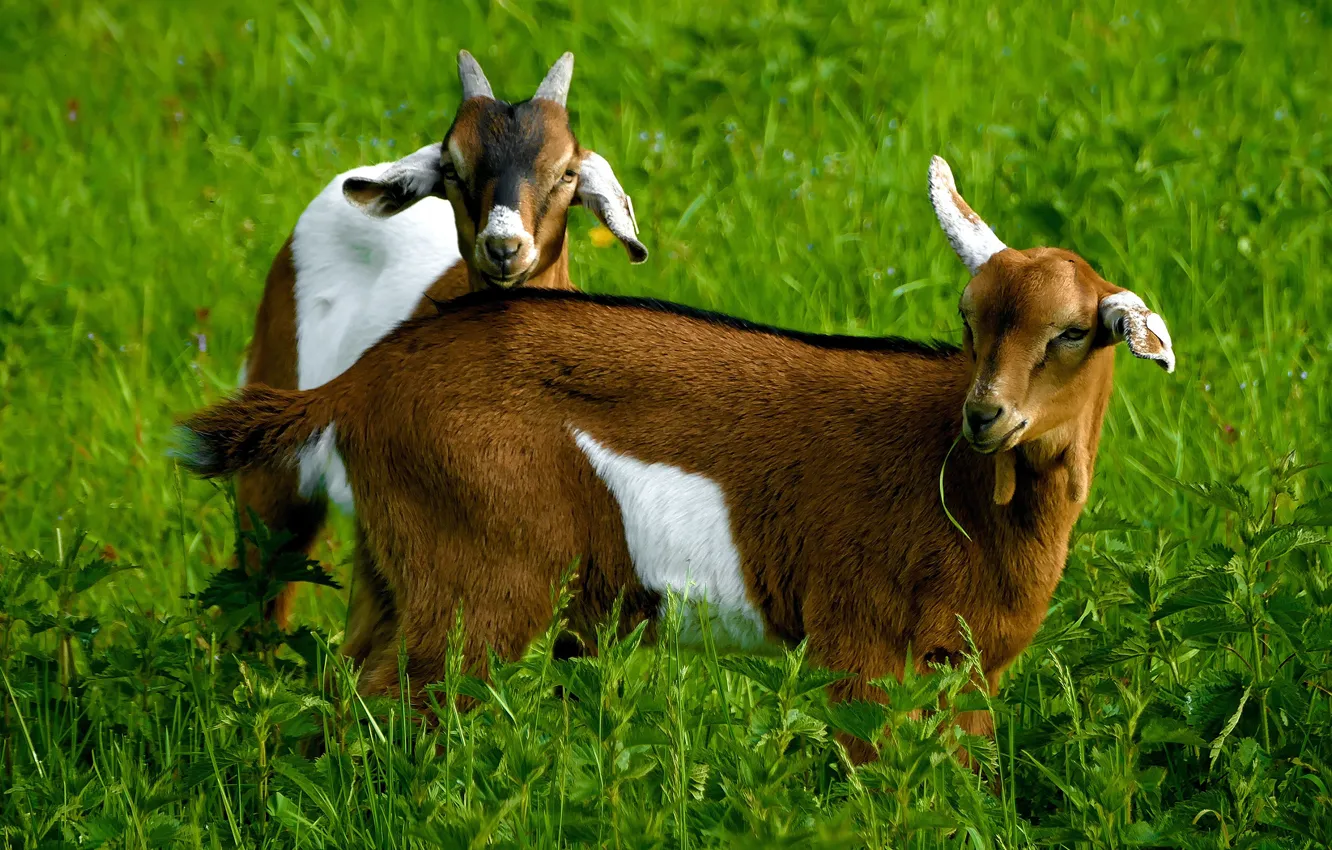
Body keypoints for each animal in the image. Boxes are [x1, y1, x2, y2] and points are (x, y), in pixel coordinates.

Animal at [180, 157, 1174, 761]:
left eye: (1073, 331)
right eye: (969, 319)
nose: (985, 415)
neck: (957, 487)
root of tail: (361, 381)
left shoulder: (970, 670)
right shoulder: (856, 644)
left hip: (395, 566)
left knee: (348, 683)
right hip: (484, 583)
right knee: (400, 697)